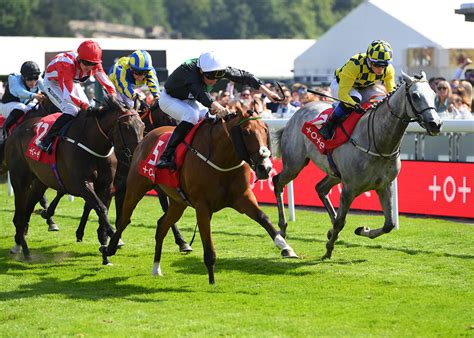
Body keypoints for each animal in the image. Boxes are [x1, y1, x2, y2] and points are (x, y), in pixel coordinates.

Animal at [4, 94, 143, 264]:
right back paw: (25, 250)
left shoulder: (107, 186)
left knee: (27, 209)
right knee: (19, 215)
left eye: (143, 125)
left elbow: (102, 210)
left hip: (40, 181)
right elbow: (101, 208)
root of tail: (16, 130)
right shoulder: (82, 185)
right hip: (20, 179)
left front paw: (105, 252)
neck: (93, 143)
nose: (137, 156)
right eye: (126, 127)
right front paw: (112, 242)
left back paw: (20, 242)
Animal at [108, 101, 296, 286]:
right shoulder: (202, 206)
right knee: (125, 218)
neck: (223, 159)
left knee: (162, 225)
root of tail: (146, 137)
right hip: (136, 187)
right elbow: (208, 246)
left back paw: (156, 268)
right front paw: (212, 281)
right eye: (246, 132)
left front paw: (286, 247)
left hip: (178, 203)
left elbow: (264, 219)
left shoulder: (242, 197)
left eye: (265, 129)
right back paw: (110, 248)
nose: (266, 168)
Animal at [272, 72, 442, 260]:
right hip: (294, 164)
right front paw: (328, 250)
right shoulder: (349, 188)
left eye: (434, 95)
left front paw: (362, 230)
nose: (436, 124)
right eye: (415, 95)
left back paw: (328, 230)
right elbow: (341, 221)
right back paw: (282, 228)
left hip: (333, 173)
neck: (377, 142)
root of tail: (298, 111)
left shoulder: (385, 185)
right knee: (277, 181)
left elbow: (389, 224)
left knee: (320, 188)